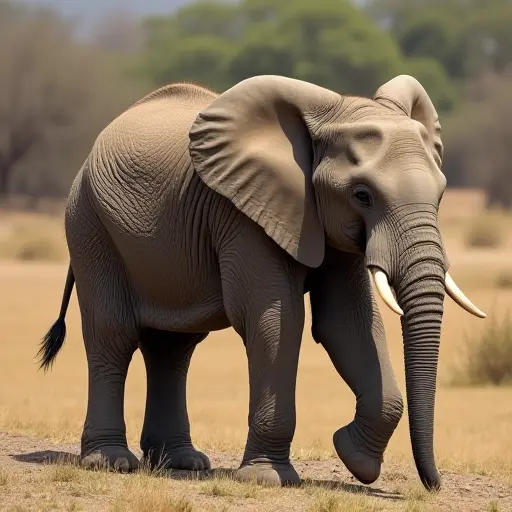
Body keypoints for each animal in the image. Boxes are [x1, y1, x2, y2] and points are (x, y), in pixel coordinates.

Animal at [39, 73, 484, 492]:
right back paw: (111, 461)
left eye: (441, 195)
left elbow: (348, 324)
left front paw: (354, 459)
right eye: (362, 195)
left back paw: (182, 463)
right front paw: (268, 478)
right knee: (113, 334)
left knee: (173, 347)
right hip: (89, 223)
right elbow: (274, 319)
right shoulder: (243, 215)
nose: (434, 484)